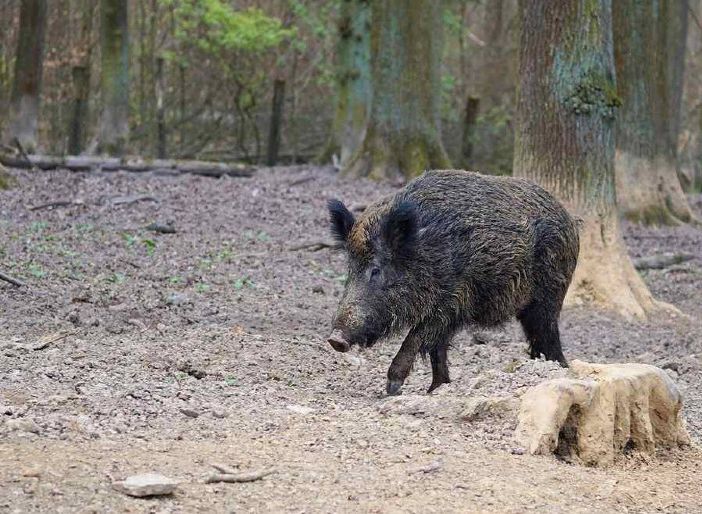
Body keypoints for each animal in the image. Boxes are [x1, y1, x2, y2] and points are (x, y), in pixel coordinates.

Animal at [326, 170, 579, 395]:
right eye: (351, 269)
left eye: (376, 270)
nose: (335, 339)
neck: (425, 251)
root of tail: (569, 219)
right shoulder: (449, 313)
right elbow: (436, 348)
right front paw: (436, 389)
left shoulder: (451, 301)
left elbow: (417, 337)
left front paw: (392, 388)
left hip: (549, 296)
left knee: (547, 335)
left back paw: (557, 369)